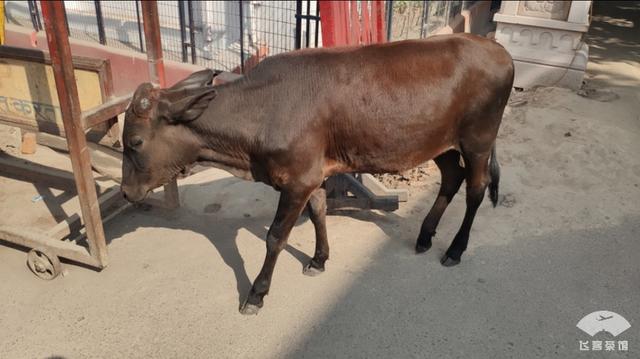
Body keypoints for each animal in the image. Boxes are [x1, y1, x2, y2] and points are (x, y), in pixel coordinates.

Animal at [121, 33, 516, 316]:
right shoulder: (311, 174)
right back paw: (425, 236)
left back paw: (455, 249)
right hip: (441, 144)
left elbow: (275, 237)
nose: (125, 192)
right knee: (452, 178)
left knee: (477, 188)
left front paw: (256, 294)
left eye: (135, 141)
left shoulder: (297, 180)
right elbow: (319, 212)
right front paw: (318, 259)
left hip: (478, 140)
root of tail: (497, 48)